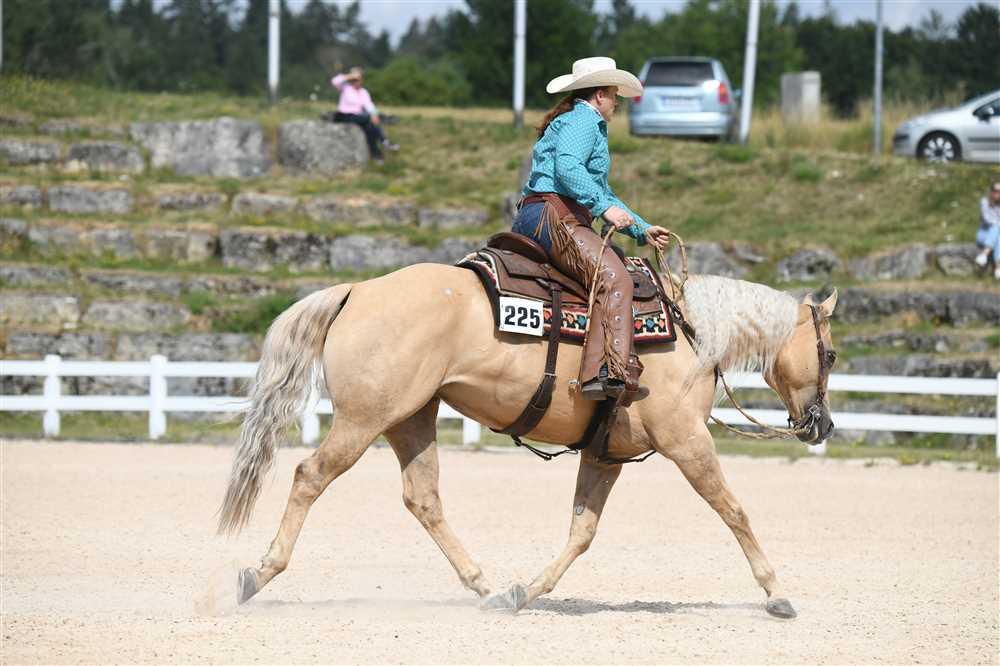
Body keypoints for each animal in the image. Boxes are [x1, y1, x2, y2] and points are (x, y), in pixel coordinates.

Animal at [216, 263, 838, 619]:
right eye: (830, 353)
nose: (823, 426)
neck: (690, 332)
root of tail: (358, 290)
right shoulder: (687, 442)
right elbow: (733, 510)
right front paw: (776, 593)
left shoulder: (606, 453)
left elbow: (582, 532)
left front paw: (527, 591)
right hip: (363, 419)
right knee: (310, 477)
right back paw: (253, 576)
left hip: (411, 417)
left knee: (423, 499)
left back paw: (488, 589)